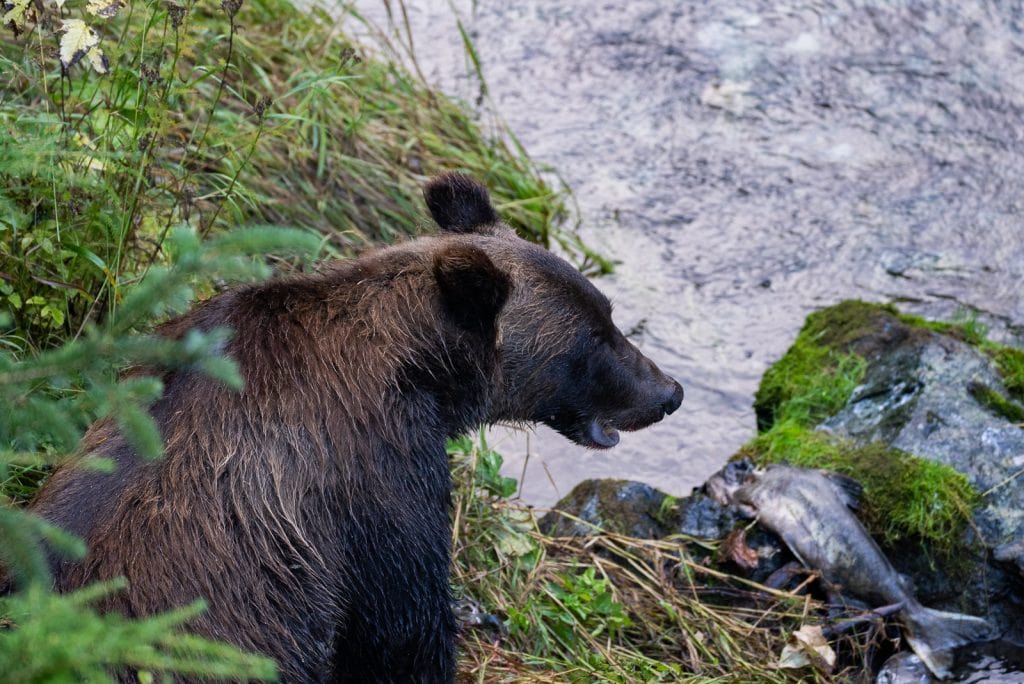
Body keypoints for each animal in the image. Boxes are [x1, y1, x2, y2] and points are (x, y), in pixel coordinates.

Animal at [23, 172, 683, 682]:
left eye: (609, 312)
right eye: (591, 339)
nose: (669, 392)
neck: (421, 373)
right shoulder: (372, 485)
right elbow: (402, 628)